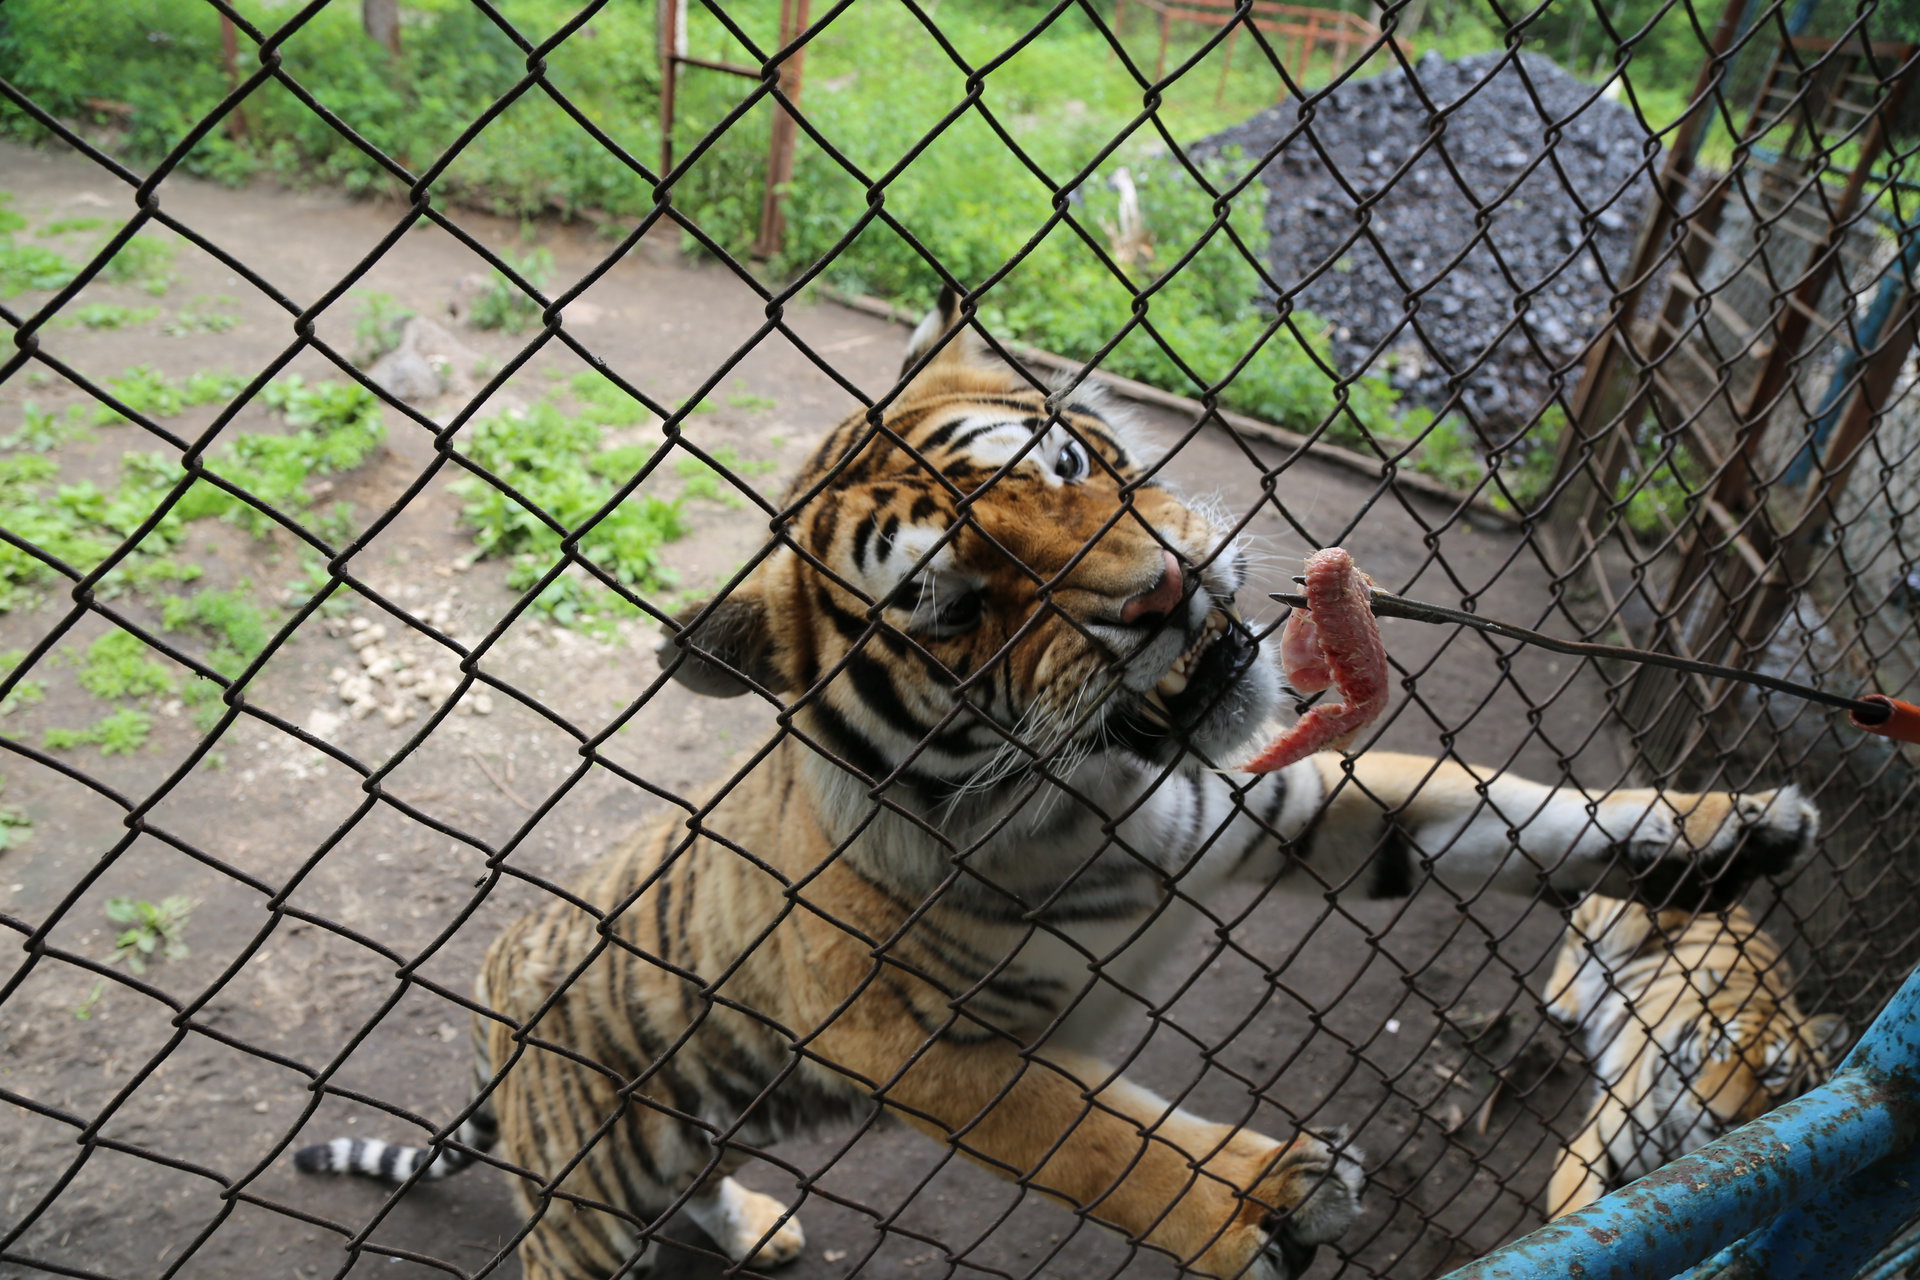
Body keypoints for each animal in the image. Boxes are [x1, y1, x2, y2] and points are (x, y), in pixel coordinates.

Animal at [1544, 894, 1847, 1218]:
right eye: (1719, 1048)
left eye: (1774, 1073)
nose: (1719, 1117)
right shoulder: (1591, 1140)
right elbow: (1572, 1214)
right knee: (1576, 941)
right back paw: (1564, 999)